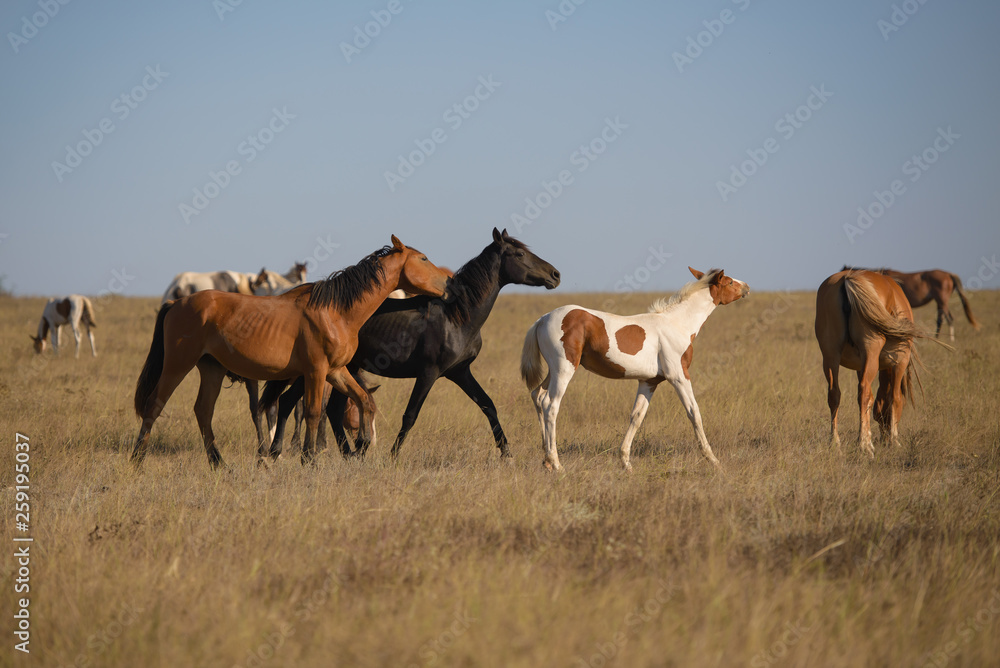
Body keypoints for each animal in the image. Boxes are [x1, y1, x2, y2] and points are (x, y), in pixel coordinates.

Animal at [131, 236, 451, 468]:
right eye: (423, 258)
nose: (447, 282)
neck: (335, 311)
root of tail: (177, 302)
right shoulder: (316, 371)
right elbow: (312, 412)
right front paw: (309, 458)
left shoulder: (336, 371)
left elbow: (364, 400)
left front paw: (360, 445)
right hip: (178, 364)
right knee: (154, 406)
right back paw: (137, 460)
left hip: (211, 368)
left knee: (203, 411)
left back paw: (219, 464)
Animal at [259, 227, 561, 461]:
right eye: (519, 254)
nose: (555, 274)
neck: (456, 316)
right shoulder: (429, 373)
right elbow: (410, 415)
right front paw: (393, 455)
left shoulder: (460, 372)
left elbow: (488, 405)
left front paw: (506, 452)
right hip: (315, 370)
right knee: (290, 402)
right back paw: (280, 452)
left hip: (342, 370)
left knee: (328, 409)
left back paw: (347, 454)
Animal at [521, 267, 749, 472]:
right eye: (729, 282)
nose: (746, 287)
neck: (678, 324)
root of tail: (543, 319)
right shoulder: (679, 376)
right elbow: (694, 412)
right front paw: (713, 460)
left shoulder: (649, 382)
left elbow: (637, 416)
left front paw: (626, 463)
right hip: (564, 369)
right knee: (551, 405)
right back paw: (556, 463)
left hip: (553, 370)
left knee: (537, 395)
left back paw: (546, 460)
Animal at [816, 269, 950, 457]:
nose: (883, 437)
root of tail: (847, 279)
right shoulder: (899, 362)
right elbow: (894, 398)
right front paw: (894, 440)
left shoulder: (860, 366)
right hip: (870, 352)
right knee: (863, 392)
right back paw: (864, 444)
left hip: (830, 357)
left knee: (834, 394)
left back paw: (835, 443)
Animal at [842, 266, 979, 341]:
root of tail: (949, 274)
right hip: (941, 301)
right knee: (944, 318)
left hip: (942, 300)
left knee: (947, 318)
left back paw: (948, 339)